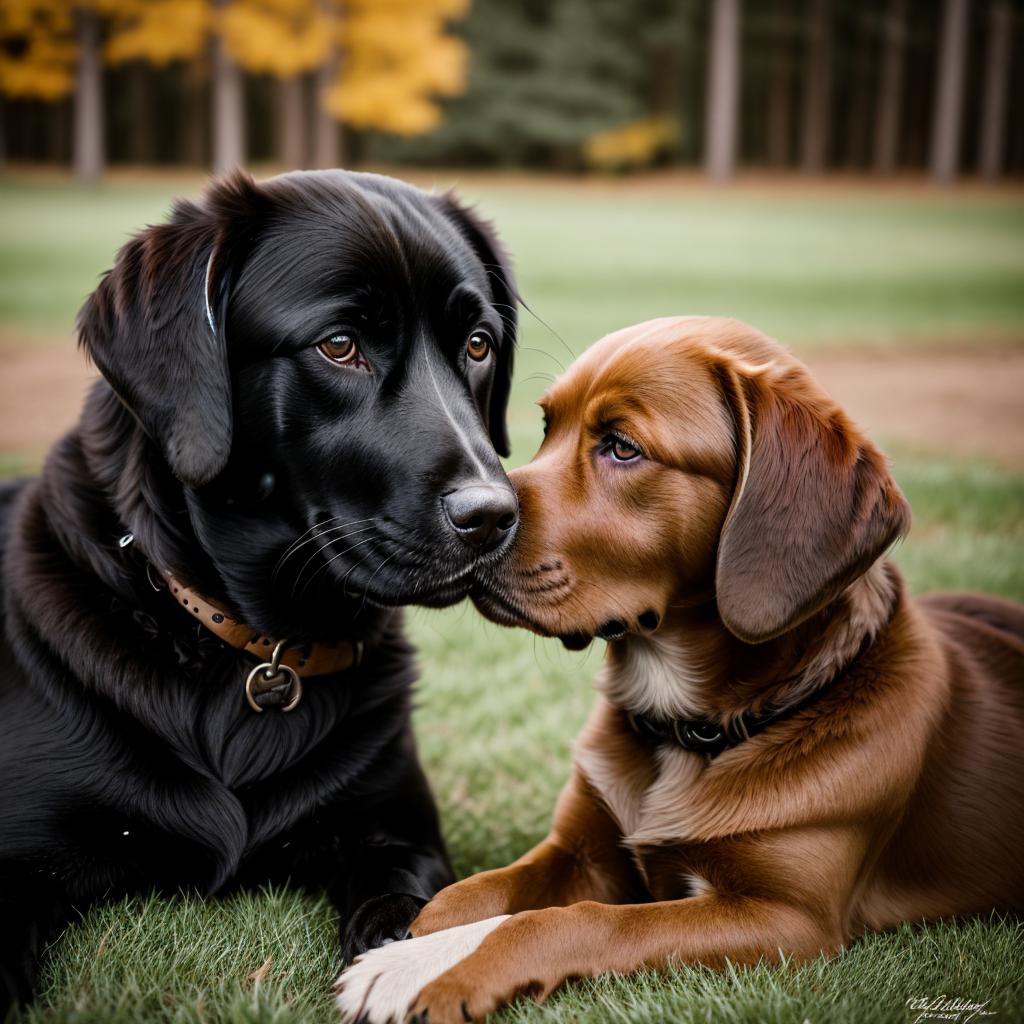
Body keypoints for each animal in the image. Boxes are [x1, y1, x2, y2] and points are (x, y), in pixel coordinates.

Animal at [0, 169, 516, 1007]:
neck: (253, 649)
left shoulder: (395, 832)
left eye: (478, 345)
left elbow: (410, 906)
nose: (498, 516)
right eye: (339, 345)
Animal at [337, 315, 1024, 1019]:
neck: (687, 729)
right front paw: (410, 947)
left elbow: (568, 921)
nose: (476, 519)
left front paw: (426, 969)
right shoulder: (579, 852)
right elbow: (468, 897)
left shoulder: (786, 918)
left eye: (622, 447)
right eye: (548, 426)